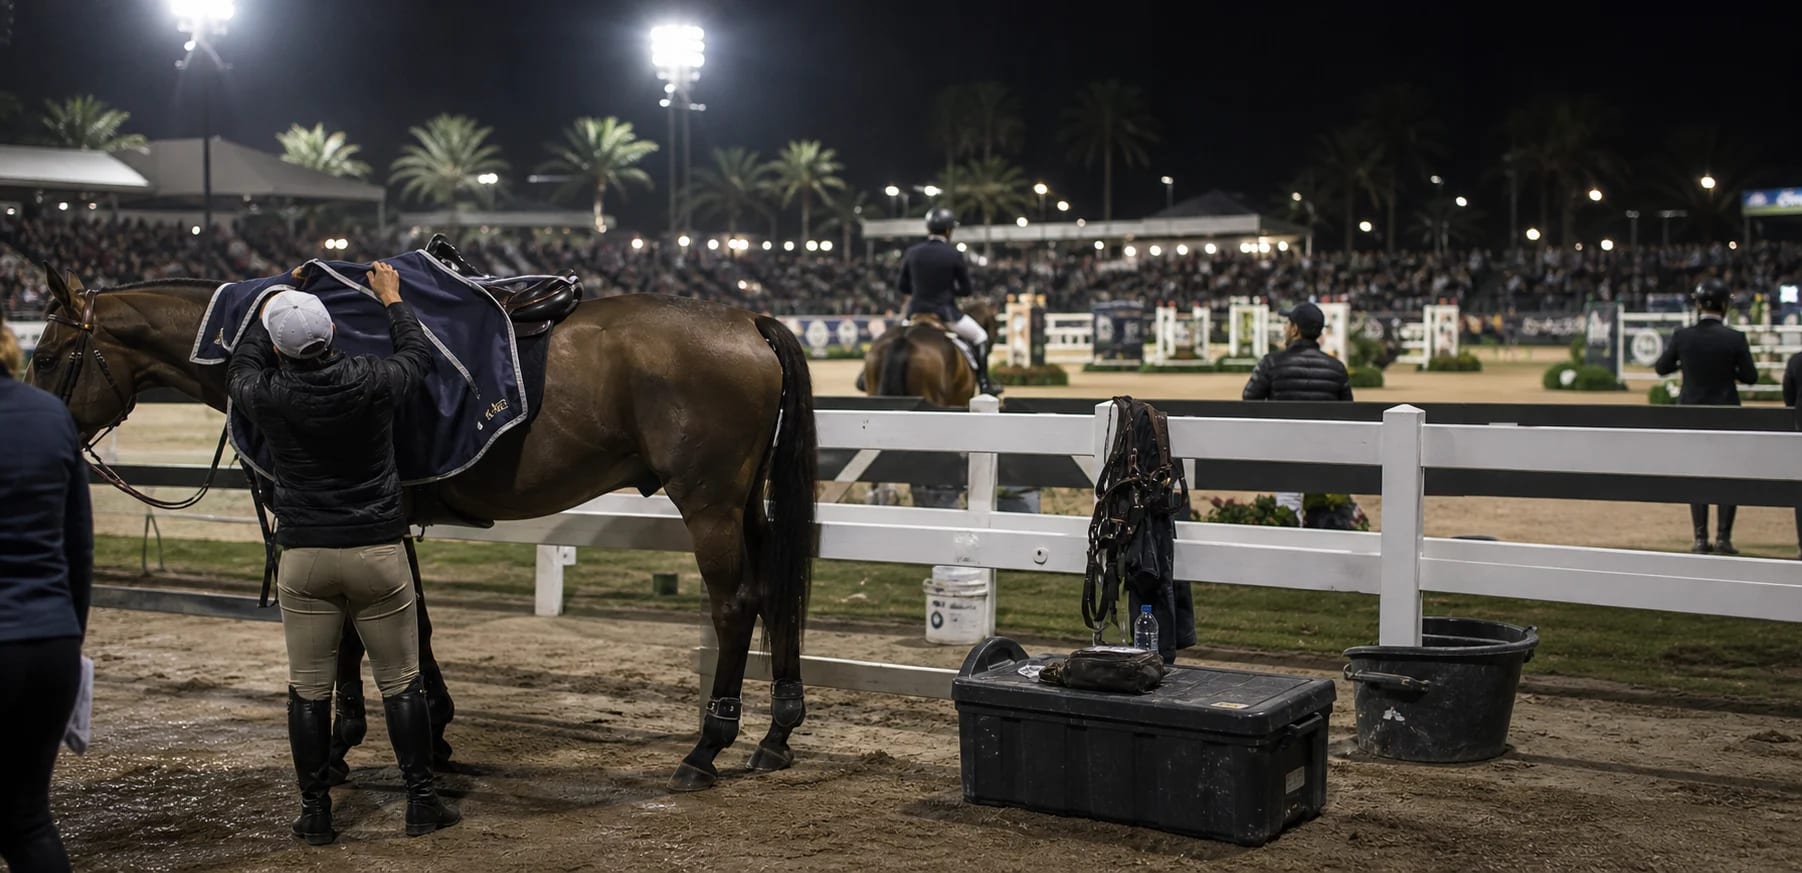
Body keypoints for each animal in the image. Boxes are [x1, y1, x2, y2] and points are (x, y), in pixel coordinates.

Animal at [27, 264, 818, 792]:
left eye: (46, 354)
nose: (38, 431)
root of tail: (745, 321)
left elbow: (352, 632)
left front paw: (341, 746)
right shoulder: (389, 517)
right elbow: (416, 623)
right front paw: (434, 731)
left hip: (709, 504)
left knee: (735, 605)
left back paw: (707, 747)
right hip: (746, 505)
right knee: (775, 593)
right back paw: (776, 732)